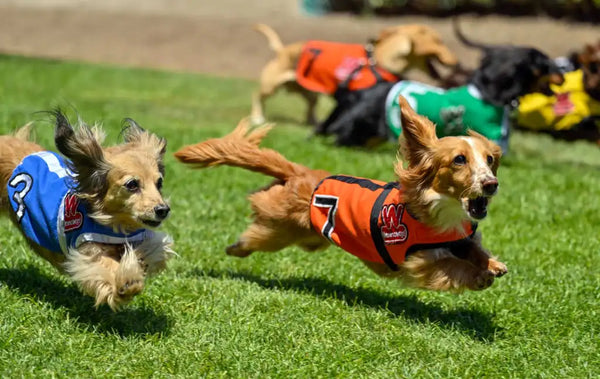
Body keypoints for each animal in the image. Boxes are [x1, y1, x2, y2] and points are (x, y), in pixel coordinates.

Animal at [0, 112, 177, 312]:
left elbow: (150, 250)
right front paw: (127, 282)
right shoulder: (86, 252)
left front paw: (137, 263)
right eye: (132, 184)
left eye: (159, 183)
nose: (163, 210)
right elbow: (105, 267)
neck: (112, 224)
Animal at [177, 98, 506, 294]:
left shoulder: (462, 238)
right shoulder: (418, 261)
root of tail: (300, 172)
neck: (443, 210)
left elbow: (474, 249)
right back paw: (236, 248)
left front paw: (493, 264)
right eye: (459, 160)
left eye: (489, 159)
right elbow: (452, 266)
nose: (491, 184)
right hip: (277, 230)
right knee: (252, 239)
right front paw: (480, 276)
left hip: (306, 238)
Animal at [251, 24, 458, 127]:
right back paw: (257, 117)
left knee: (310, 106)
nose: (456, 62)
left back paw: (312, 121)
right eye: (440, 41)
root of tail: (282, 50)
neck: (378, 58)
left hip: (310, 92)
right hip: (270, 85)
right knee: (257, 97)